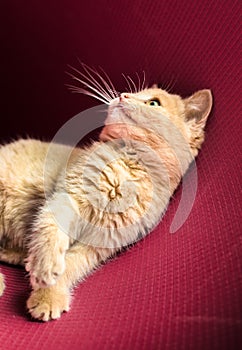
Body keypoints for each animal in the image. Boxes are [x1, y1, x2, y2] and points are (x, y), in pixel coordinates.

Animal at [0, 65, 212, 320]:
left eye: (153, 103)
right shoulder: (68, 195)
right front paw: (46, 266)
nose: (122, 96)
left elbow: (72, 265)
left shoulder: (98, 244)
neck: (129, 164)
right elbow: (51, 230)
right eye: (135, 93)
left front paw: (48, 295)